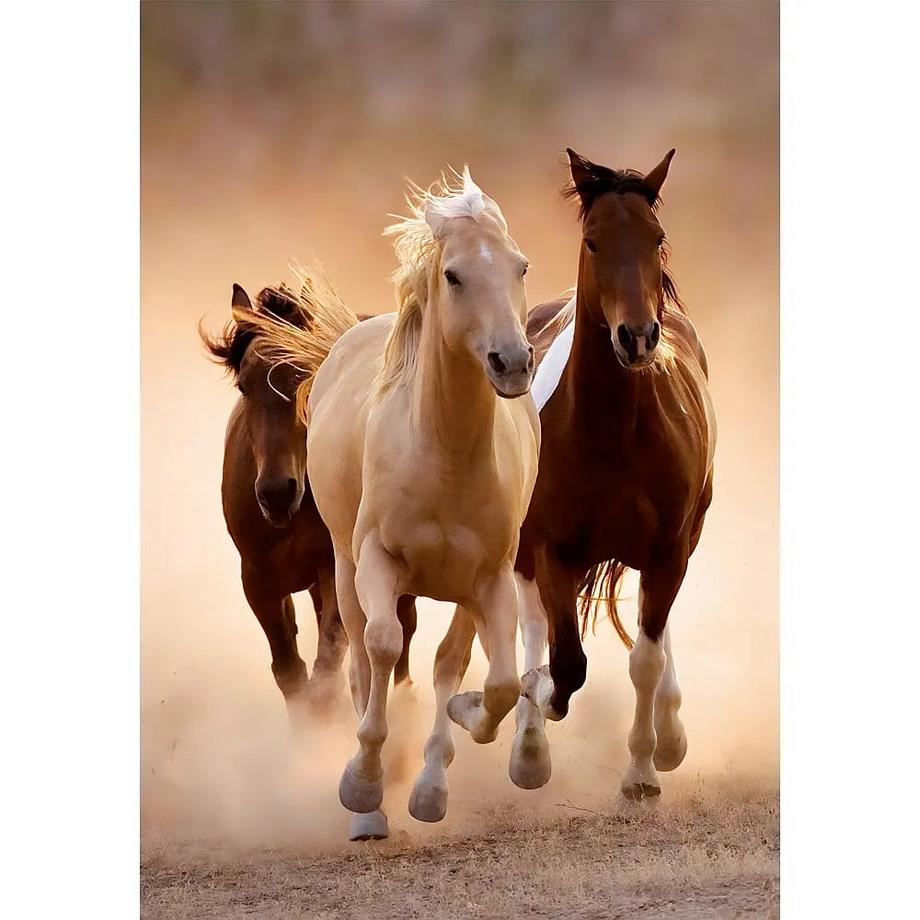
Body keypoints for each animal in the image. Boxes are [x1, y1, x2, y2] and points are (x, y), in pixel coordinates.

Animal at [200, 281, 418, 728]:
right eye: (244, 386)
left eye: (306, 376)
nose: (276, 492)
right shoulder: (258, 579)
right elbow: (290, 672)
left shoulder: (335, 569)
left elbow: (328, 667)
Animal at [243, 169, 539, 840]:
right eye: (453, 275)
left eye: (520, 266)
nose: (512, 362)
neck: (444, 457)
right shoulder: (376, 561)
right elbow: (379, 648)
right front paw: (362, 785)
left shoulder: (489, 579)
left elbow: (492, 681)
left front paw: (455, 738)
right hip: (344, 569)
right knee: (360, 656)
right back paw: (371, 806)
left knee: (447, 661)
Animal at [509, 148, 716, 800]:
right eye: (593, 241)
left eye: (657, 238)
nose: (638, 336)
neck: (615, 432)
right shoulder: (551, 547)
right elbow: (565, 664)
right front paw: (536, 710)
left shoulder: (669, 549)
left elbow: (645, 658)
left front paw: (644, 770)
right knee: (532, 623)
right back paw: (527, 744)